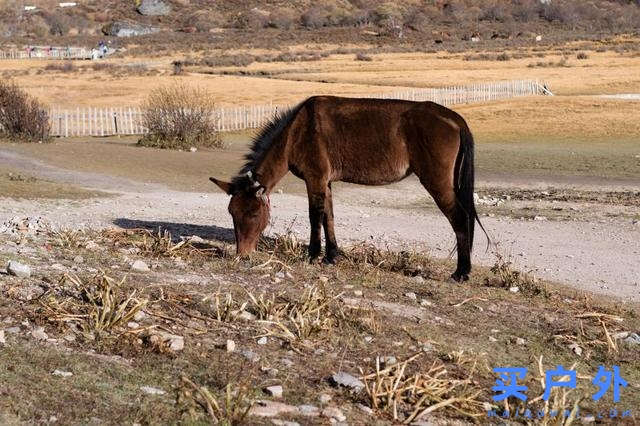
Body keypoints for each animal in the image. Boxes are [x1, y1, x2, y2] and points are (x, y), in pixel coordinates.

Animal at [210, 97, 484, 282]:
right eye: (232, 213)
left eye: (254, 214)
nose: (242, 255)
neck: (296, 132)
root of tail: (454, 119)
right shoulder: (326, 182)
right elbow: (328, 217)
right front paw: (331, 256)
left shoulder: (315, 180)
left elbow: (315, 216)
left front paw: (313, 255)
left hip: (437, 182)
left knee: (461, 218)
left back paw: (461, 272)